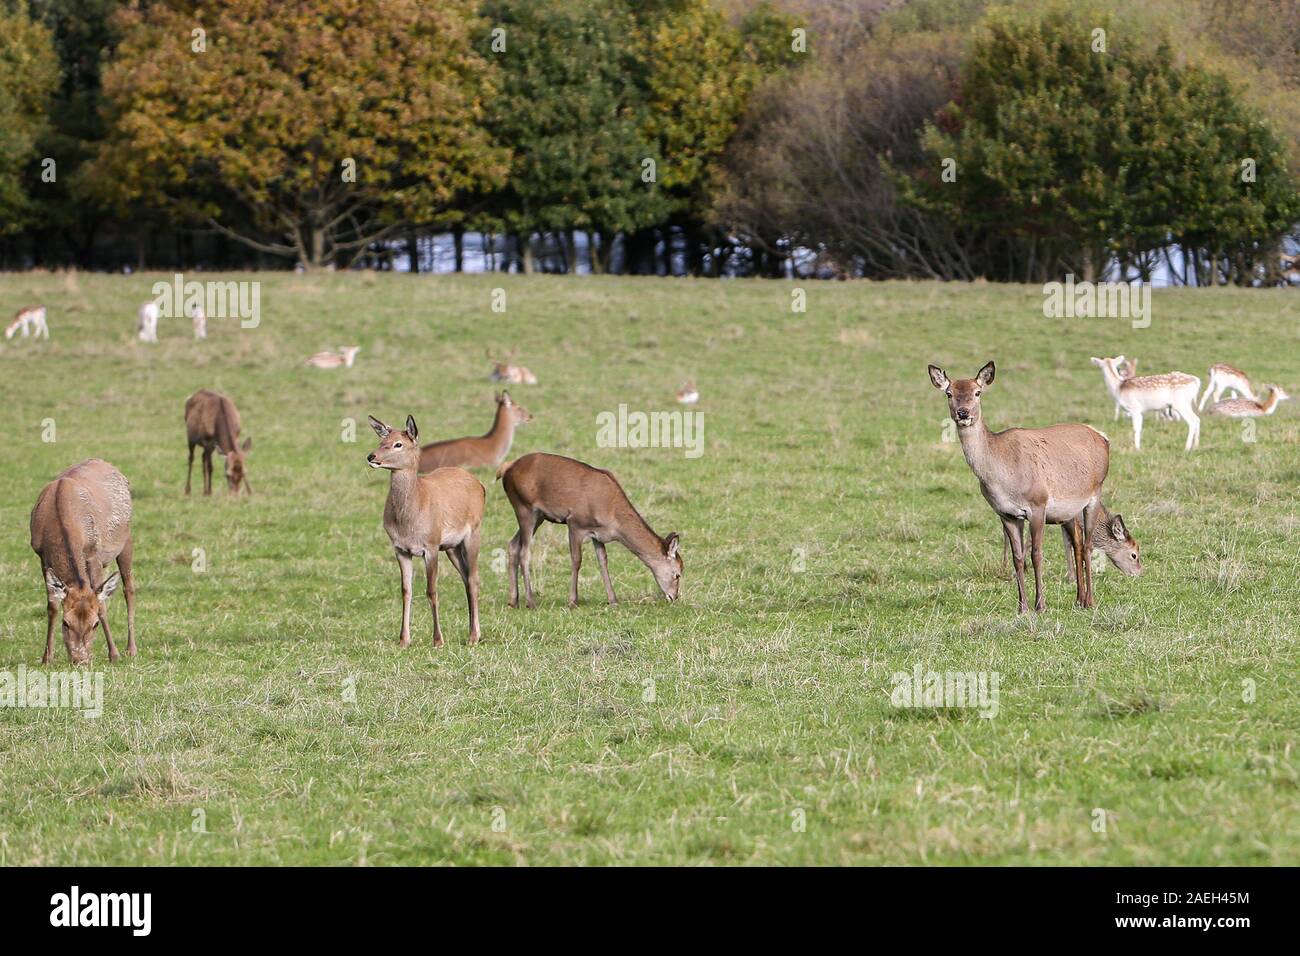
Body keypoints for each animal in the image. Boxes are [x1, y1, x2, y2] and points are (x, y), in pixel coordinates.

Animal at [369, 416, 486, 647]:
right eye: (381, 440)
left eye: (398, 444)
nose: (371, 456)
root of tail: (481, 485)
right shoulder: (400, 549)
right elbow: (406, 591)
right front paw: (404, 640)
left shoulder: (430, 546)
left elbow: (431, 590)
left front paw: (438, 640)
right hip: (451, 547)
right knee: (465, 577)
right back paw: (472, 633)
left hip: (473, 533)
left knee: (474, 578)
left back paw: (473, 636)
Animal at [493, 452, 686, 608]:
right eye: (677, 574)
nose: (674, 597)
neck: (612, 517)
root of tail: (506, 468)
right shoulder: (575, 523)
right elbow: (576, 560)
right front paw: (572, 601)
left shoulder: (598, 534)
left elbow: (603, 561)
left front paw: (613, 600)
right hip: (524, 508)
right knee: (525, 552)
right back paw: (530, 602)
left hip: (538, 516)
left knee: (513, 545)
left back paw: (513, 601)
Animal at [930, 358, 1112, 613]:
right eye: (949, 393)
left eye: (977, 392)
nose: (963, 413)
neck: (1002, 477)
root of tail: (1103, 437)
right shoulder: (1005, 513)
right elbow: (1018, 557)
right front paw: (1022, 607)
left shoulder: (1038, 505)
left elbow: (1036, 554)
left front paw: (1041, 605)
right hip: (1069, 509)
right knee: (1077, 543)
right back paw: (1078, 598)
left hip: (1095, 493)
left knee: (1087, 544)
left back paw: (1090, 601)